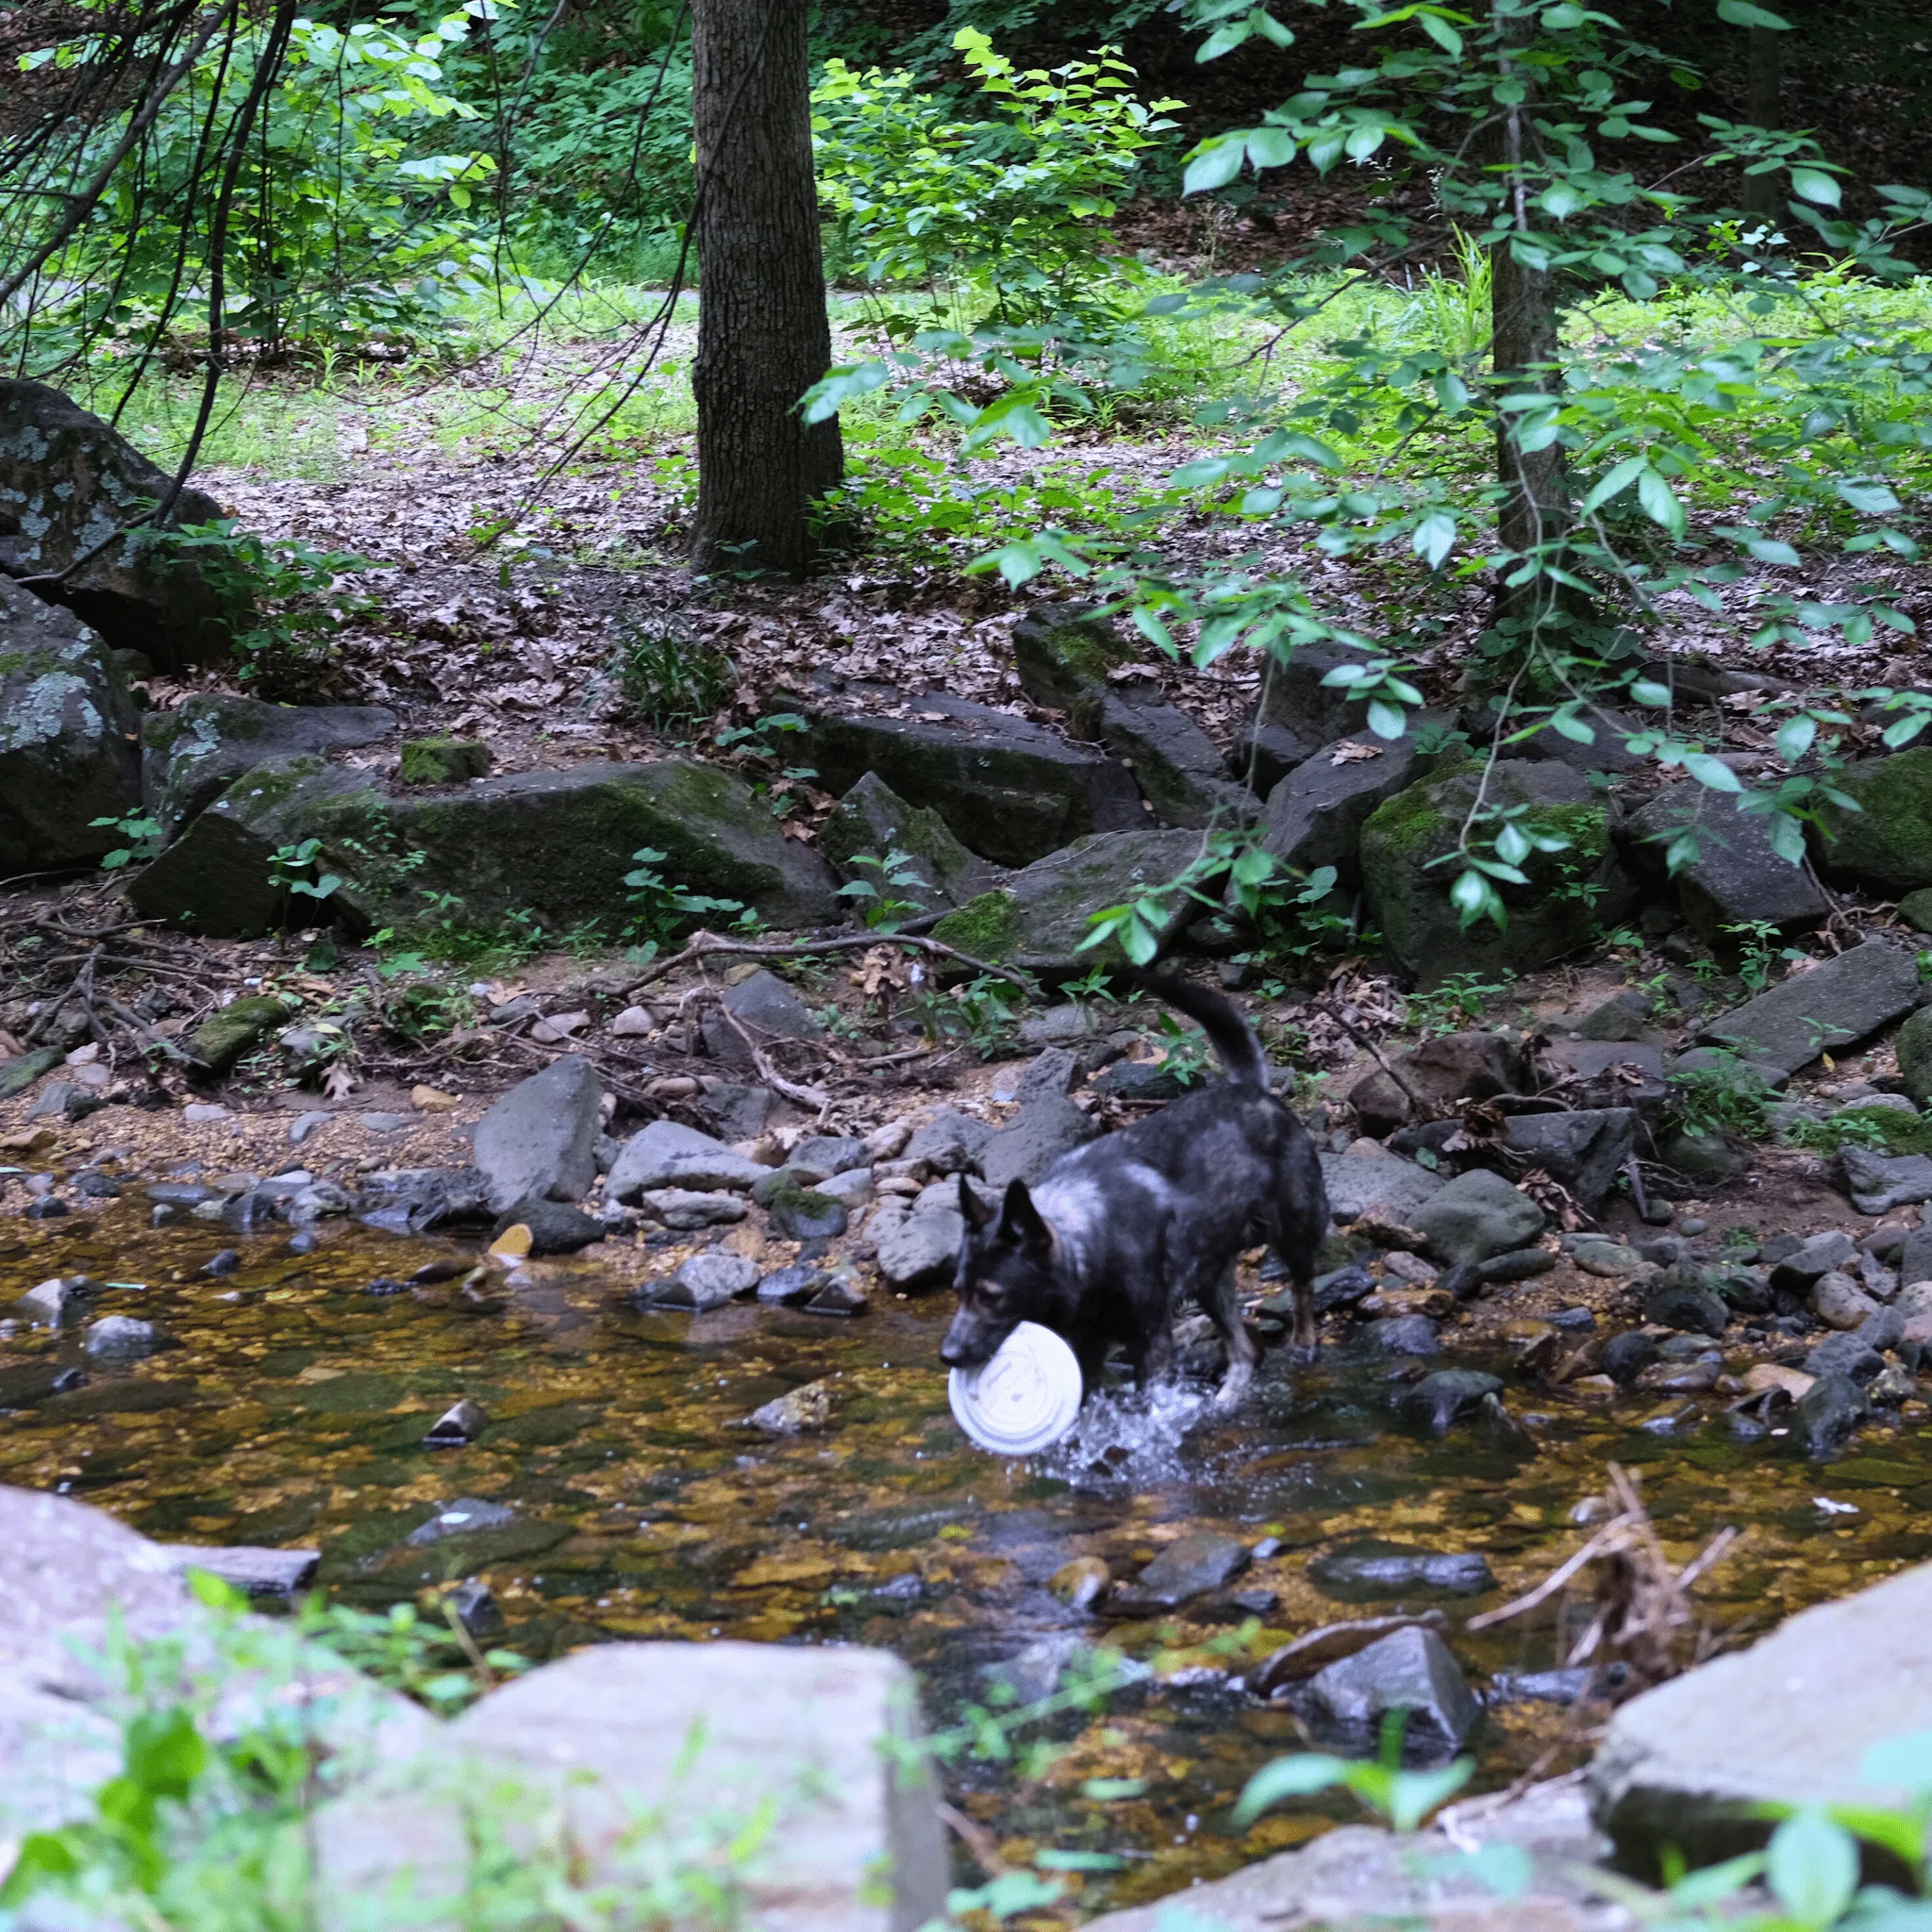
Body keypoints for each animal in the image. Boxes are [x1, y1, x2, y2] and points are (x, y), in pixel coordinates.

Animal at [942, 981, 1337, 1406]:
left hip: (1294, 1230)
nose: (947, 1355)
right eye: (958, 1293)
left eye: (991, 1297)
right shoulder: (1084, 1347)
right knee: (1244, 1352)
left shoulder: (1151, 1343)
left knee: (1303, 1286)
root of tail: (1251, 1088)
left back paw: (1303, 1342)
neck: (1089, 1244)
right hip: (1210, 1281)